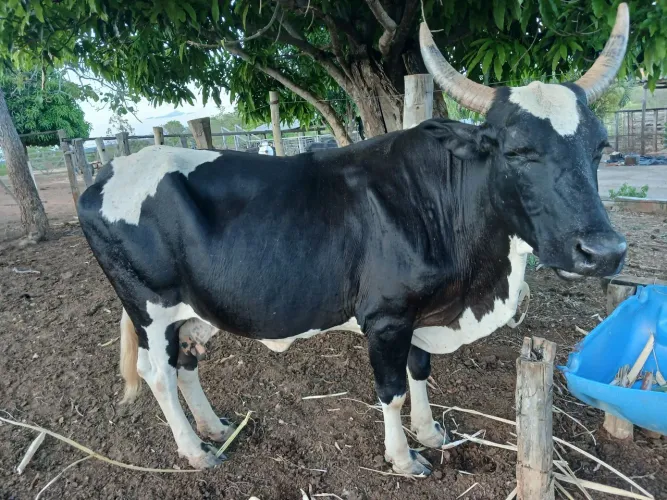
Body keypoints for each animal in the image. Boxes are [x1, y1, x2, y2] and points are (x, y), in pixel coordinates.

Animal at [77, 4, 629, 476]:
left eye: (601, 146)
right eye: (514, 150)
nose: (603, 251)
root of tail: (107, 173)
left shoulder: (420, 314)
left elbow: (421, 370)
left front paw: (431, 433)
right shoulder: (385, 317)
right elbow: (392, 390)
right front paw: (403, 458)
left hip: (197, 307)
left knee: (186, 362)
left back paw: (214, 428)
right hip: (149, 304)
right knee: (158, 373)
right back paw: (196, 451)